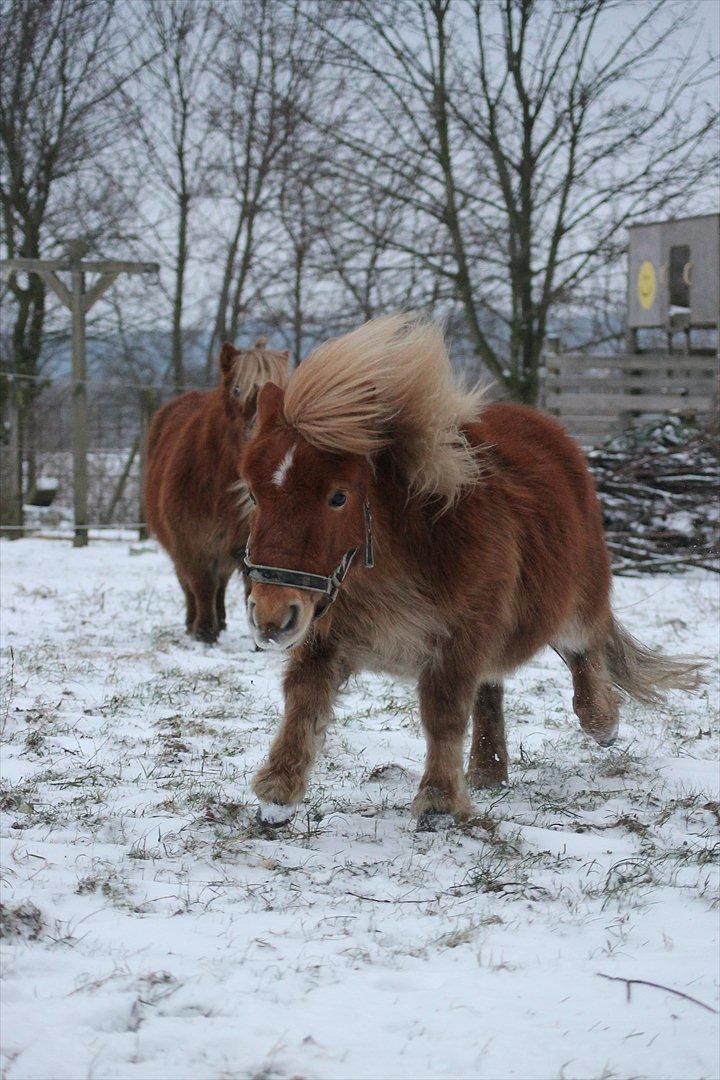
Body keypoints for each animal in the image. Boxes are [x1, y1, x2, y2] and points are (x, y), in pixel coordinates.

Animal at [143, 336, 289, 639]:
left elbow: (250, 585)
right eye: (237, 390)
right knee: (189, 584)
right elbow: (201, 585)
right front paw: (204, 631)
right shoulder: (190, 539)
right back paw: (194, 622)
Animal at [240, 315, 703, 829]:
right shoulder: (326, 633)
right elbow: (304, 697)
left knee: (586, 653)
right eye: (255, 493)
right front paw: (277, 794)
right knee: (491, 687)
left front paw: (439, 803)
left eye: (338, 497)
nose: (271, 617)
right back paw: (488, 770)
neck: (396, 558)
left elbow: (442, 710)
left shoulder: (458, 639)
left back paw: (603, 723)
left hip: (574, 603)